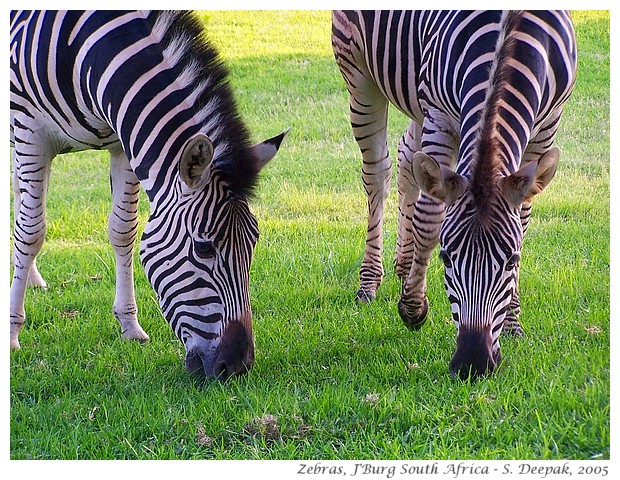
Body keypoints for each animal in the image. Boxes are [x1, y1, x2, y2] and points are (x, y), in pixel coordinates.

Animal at [10, 9, 288, 380]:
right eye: (204, 248)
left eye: (253, 243)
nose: (237, 367)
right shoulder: (32, 132)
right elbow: (31, 233)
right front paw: (12, 332)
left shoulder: (123, 139)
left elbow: (122, 231)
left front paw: (130, 326)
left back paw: (33, 278)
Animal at [334, 10, 576, 378]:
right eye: (446, 258)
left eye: (512, 260)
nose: (473, 364)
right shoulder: (440, 116)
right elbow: (429, 218)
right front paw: (413, 309)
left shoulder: (546, 126)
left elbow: (522, 218)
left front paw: (513, 322)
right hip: (359, 74)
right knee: (378, 172)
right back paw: (370, 280)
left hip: (413, 99)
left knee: (408, 159)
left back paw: (404, 264)